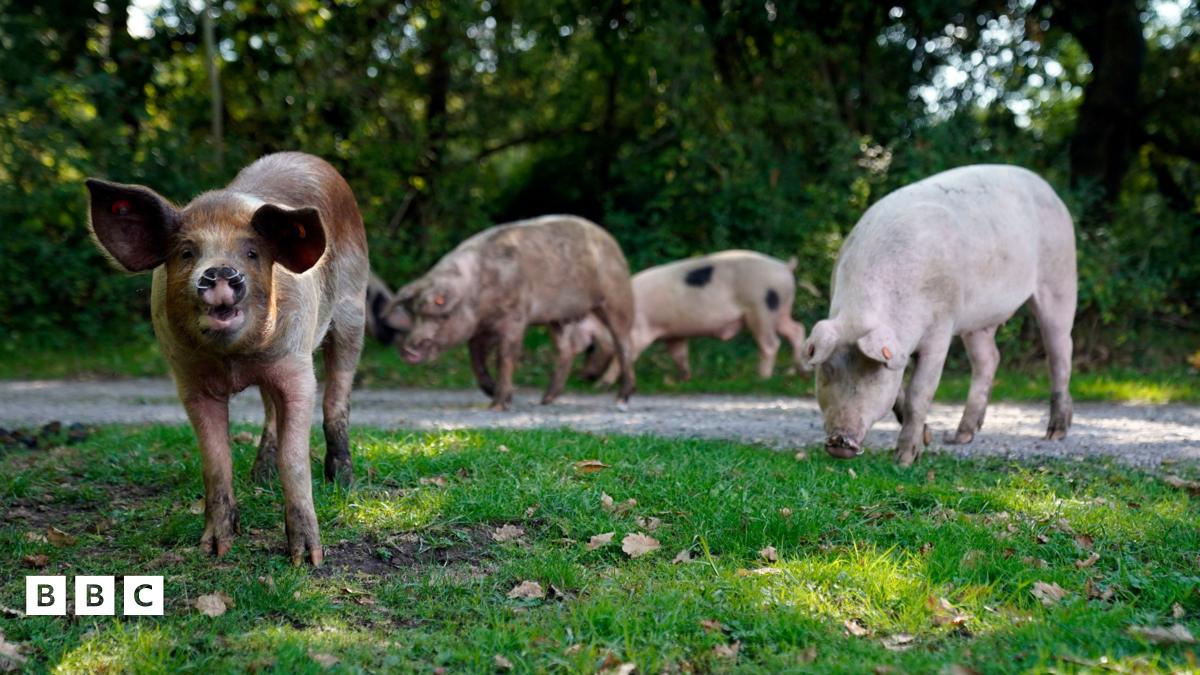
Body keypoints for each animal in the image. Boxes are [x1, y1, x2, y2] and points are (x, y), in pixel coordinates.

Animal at [85, 152, 369, 565]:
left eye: (252, 253)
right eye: (187, 253)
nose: (219, 270)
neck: (234, 360)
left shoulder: (296, 366)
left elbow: (295, 459)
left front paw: (307, 559)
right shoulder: (189, 380)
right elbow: (216, 461)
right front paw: (215, 549)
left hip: (353, 311)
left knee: (337, 399)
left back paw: (343, 482)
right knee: (269, 414)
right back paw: (260, 477)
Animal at [380, 215, 635, 410]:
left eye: (442, 315)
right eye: (416, 314)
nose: (408, 350)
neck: (477, 290)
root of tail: (611, 241)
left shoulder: (515, 317)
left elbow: (505, 356)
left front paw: (499, 405)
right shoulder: (481, 329)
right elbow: (476, 358)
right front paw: (498, 395)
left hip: (617, 296)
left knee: (623, 343)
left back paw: (621, 399)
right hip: (556, 318)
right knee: (567, 349)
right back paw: (545, 401)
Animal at [571, 250, 808, 383]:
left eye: (591, 347)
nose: (583, 376)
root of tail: (784, 266)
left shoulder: (638, 332)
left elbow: (624, 358)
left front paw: (602, 384)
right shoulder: (673, 334)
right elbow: (679, 354)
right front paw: (682, 378)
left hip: (762, 309)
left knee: (771, 343)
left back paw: (761, 378)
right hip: (780, 311)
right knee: (797, 330)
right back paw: (799, 371)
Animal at [802, 164, 1076, 466]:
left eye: (872, 375)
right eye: (827, 371)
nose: (840, 441)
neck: (861, 313)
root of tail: (1047, 188)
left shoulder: (941, 327)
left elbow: (919, 393)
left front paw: (905, 459)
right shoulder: (897, 350)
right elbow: (900, 391)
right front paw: (928, 438)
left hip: (1059, 276)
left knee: (1060, 349)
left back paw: (1055, 433)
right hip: (977, 321)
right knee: (989, 359)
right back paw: (960, 437)